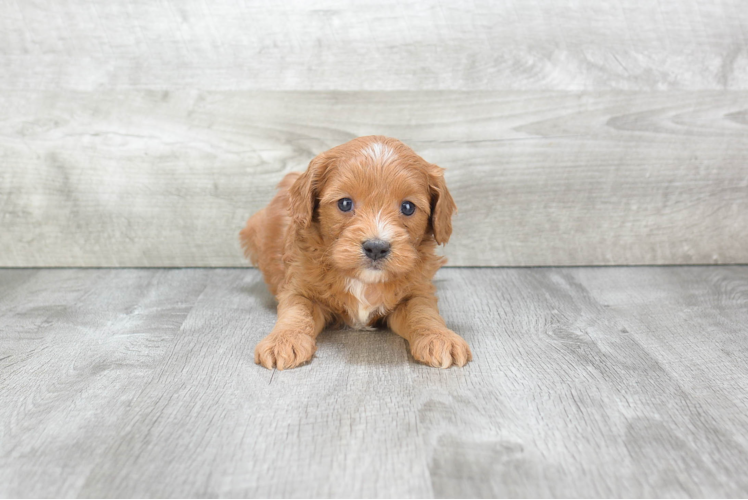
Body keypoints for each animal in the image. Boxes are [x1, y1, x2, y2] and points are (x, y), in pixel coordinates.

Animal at [241, 135, 474, 370]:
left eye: (408, 207)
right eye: (345, 203)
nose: (376, 247)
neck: (364, 280)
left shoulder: (417, 292)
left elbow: (424, 313)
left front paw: (440, 337)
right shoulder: (298, 287)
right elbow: (296, 312)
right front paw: (283, 340)